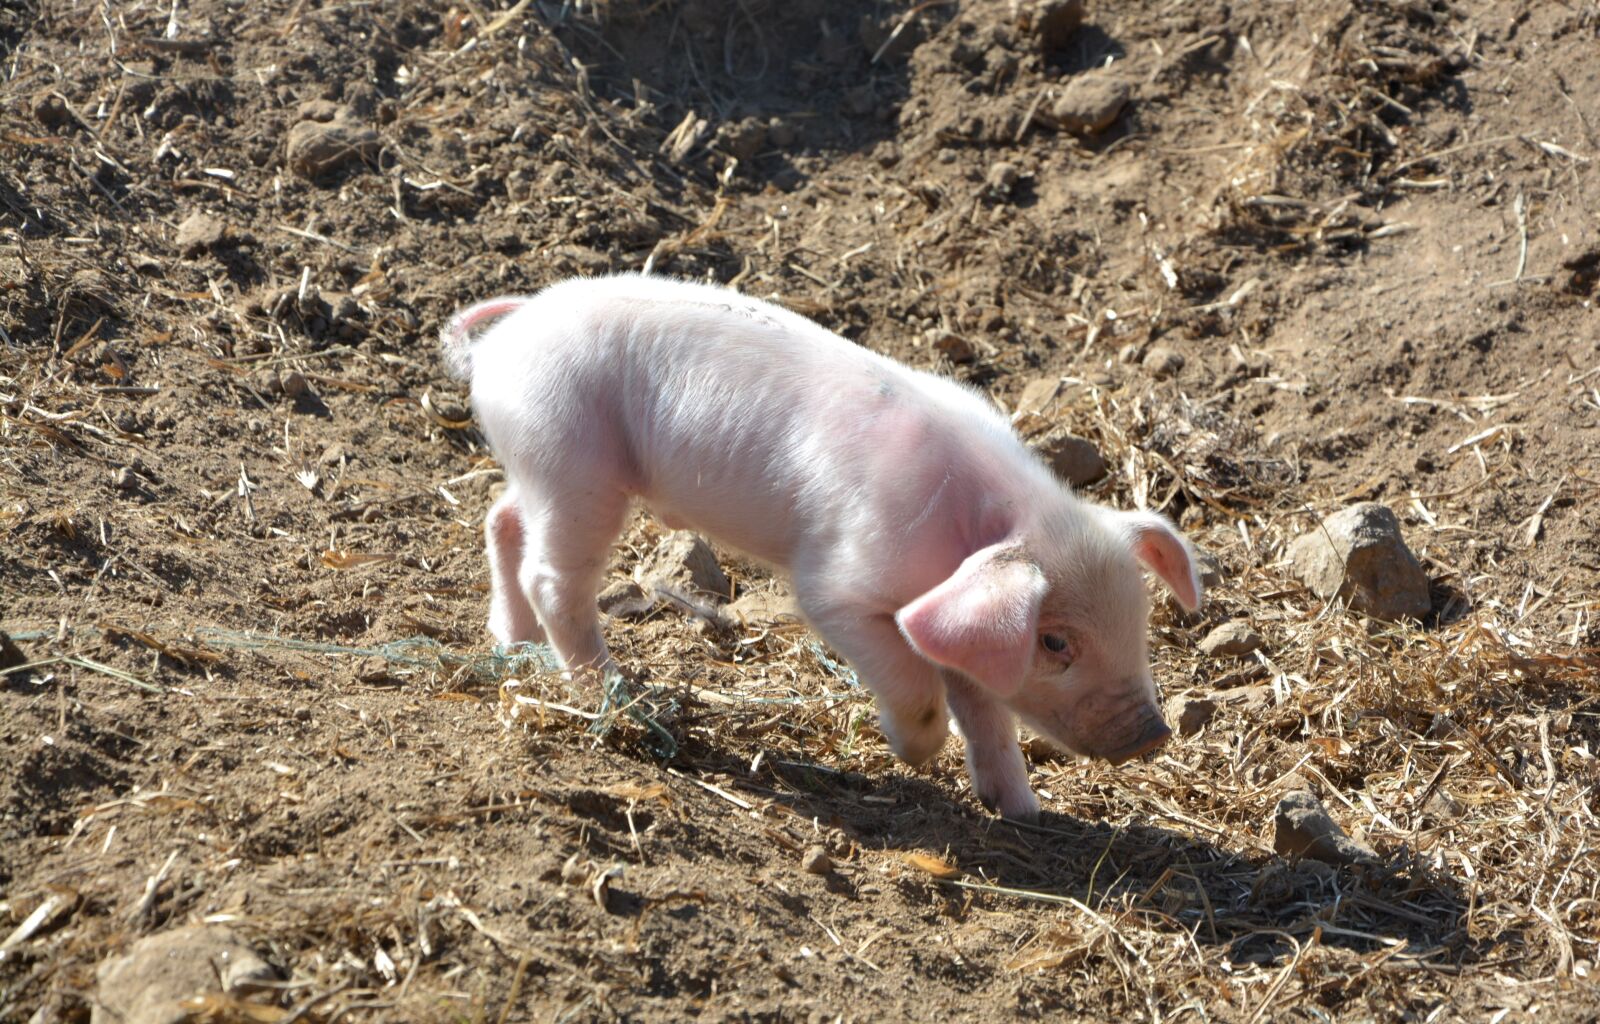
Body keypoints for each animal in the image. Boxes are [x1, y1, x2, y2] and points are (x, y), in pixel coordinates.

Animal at [440, 274, 1201, 820]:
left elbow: (985, 710)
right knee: (553, 577)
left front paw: (1024, 812)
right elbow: (909, 677)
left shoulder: (953, 609)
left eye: (1139, 622)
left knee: (500, 519)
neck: (974, 522)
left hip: (541, 467)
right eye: (1054, 642)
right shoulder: (839, 585)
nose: (1153, 734)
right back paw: (616, 696)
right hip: (573, 460)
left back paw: (513, 644)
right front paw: (915, 755)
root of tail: (511, 330)